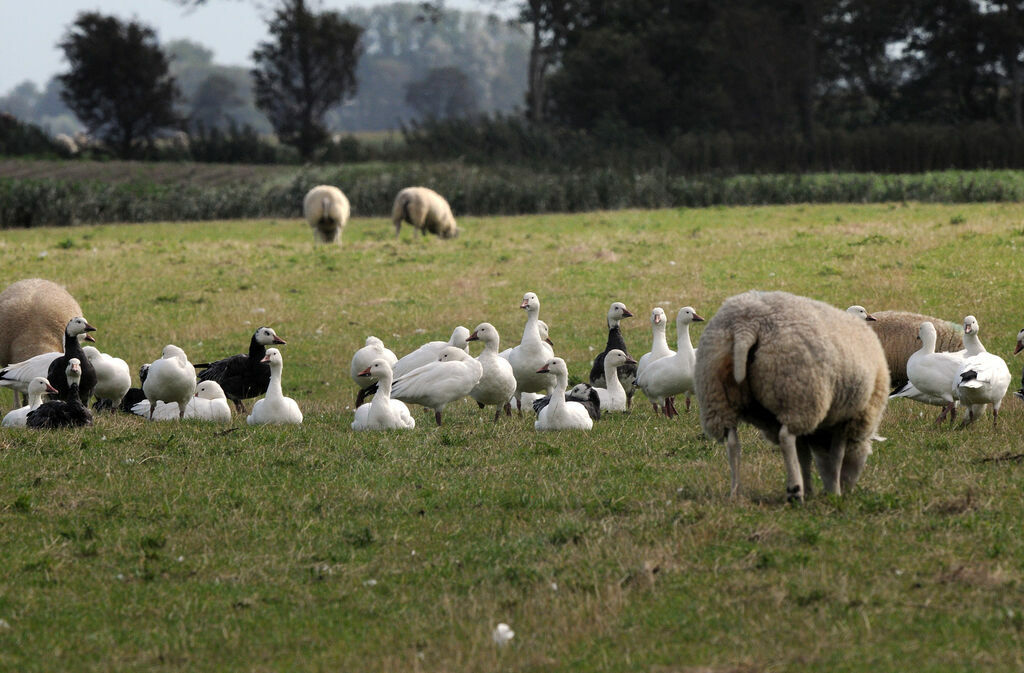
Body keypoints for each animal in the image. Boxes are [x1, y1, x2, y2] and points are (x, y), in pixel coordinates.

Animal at [696, 290, 888, 501]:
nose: (846, 491)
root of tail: (746, 325)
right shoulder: (845, 419)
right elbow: (836, 457)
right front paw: (834, 492)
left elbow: (804, 456)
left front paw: (812, 489)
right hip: (798, 395)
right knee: (786, 438)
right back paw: (794, 491)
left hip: (716, 394)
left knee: (732, 441)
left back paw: (736, 493)